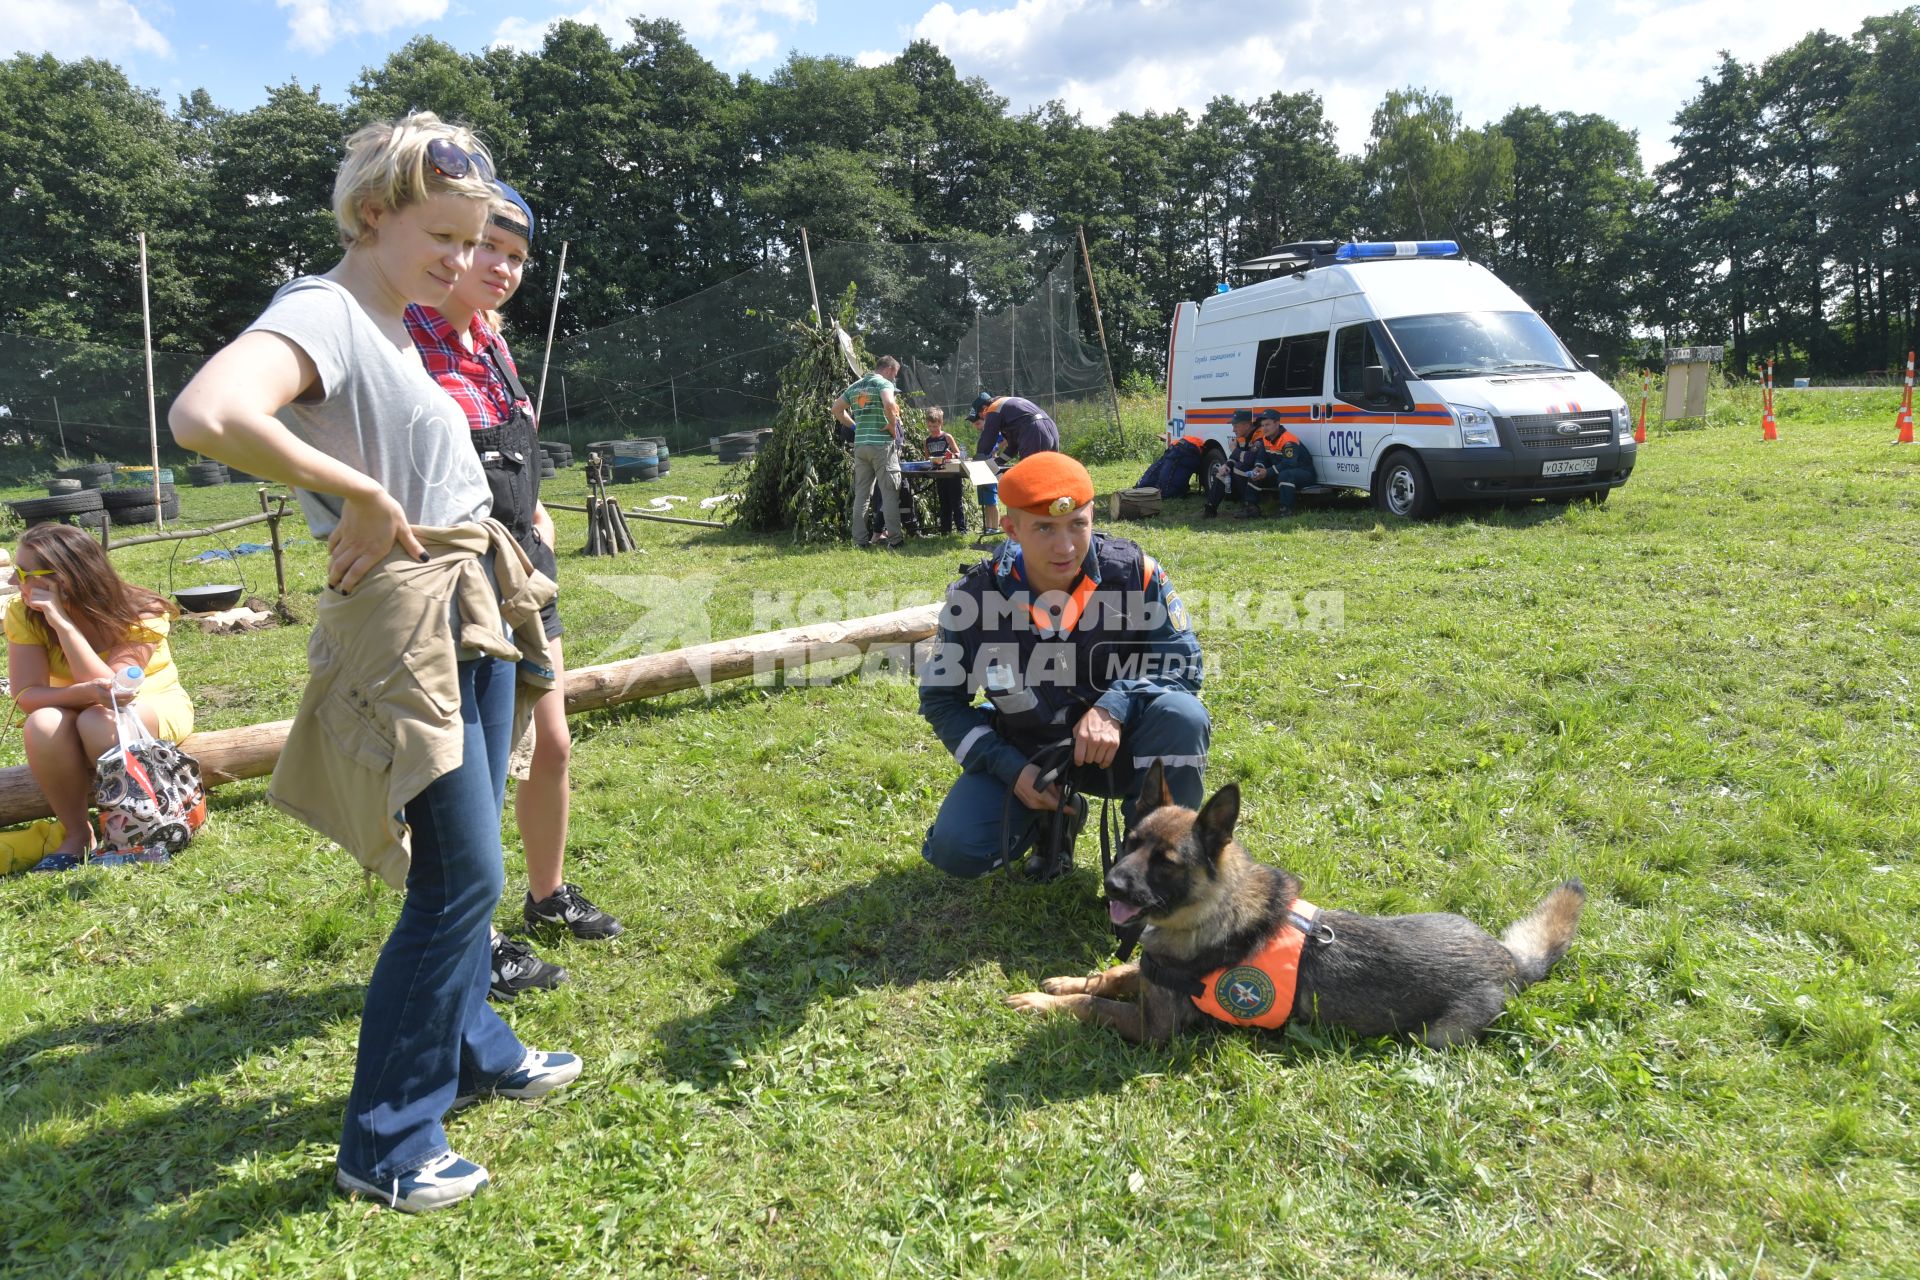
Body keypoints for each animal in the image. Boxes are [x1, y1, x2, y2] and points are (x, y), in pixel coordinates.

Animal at [1006, 767, 1589, 1043]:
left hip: (1435, 1038)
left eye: (1166, 862)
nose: (1111, 884)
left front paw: (1041, 1003)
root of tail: (1511, 960)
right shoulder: (1146, 971)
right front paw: (1063, 982)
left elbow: (1094, 1005)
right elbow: (1112, 973)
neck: (1207, 913)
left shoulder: (1152, 1028)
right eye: (1128, 843)